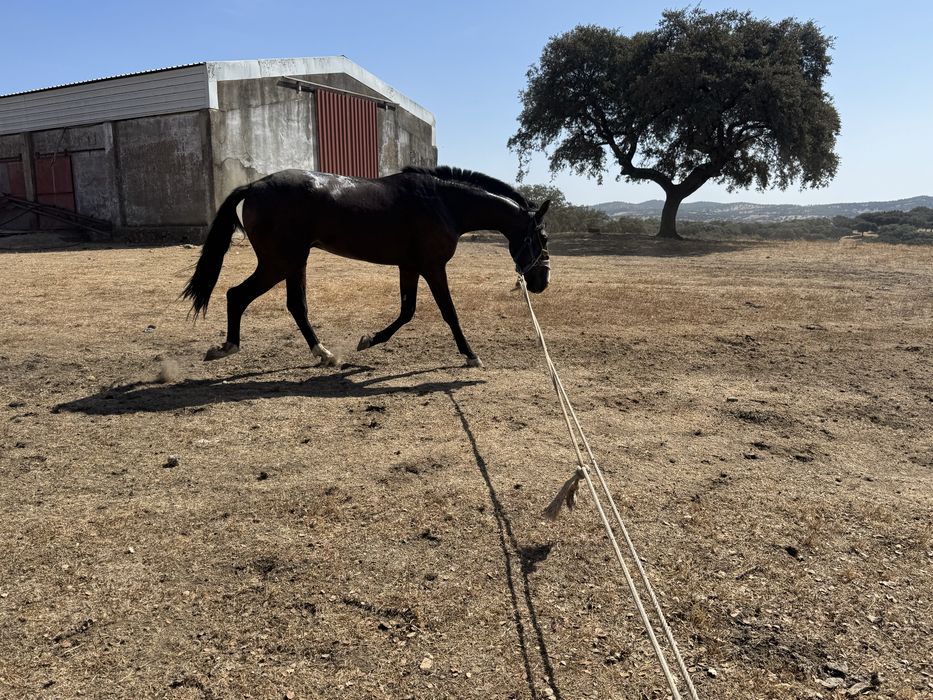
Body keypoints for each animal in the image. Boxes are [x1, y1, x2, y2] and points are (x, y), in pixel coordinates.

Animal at [182, 166, 551, 368]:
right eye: (543, 237)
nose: (541, 282)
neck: (443, 203)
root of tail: (254, 186)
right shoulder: (432, 267)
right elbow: (449, 312)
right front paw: (471, 355)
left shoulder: (409, 266)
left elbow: (407, 312)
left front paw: (369, 340)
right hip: (279, 263)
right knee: (237, 295)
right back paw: (226, 347)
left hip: (293, 262)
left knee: (295, 306)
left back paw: (324, 353)